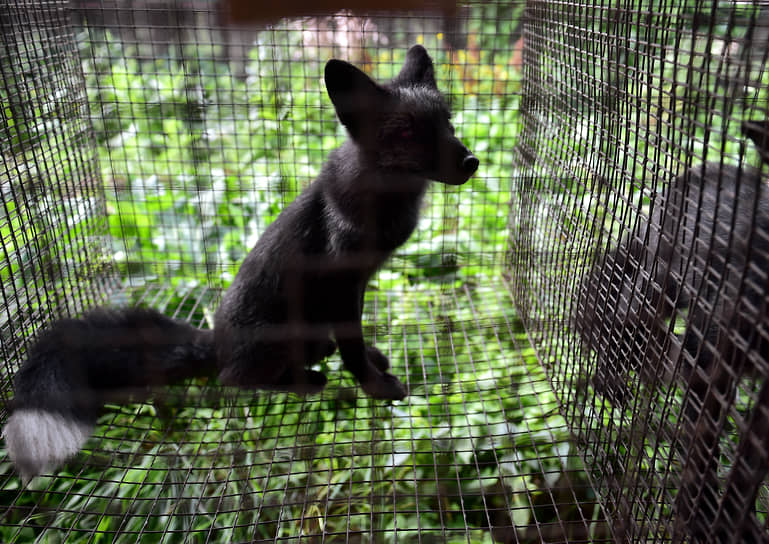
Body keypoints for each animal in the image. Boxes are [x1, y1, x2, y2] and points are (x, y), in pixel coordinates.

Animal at [3, 45, 476, 480]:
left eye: (448, 124)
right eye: (407, 133)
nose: (472, 162)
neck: (386, 203)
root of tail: (215, 341)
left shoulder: (357, 283)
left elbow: (355, 338)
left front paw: (372, 361)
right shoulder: (341, 281)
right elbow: (352, 347)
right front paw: (373, 385)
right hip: (275, 339)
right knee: (233, 378)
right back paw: (304, 380)